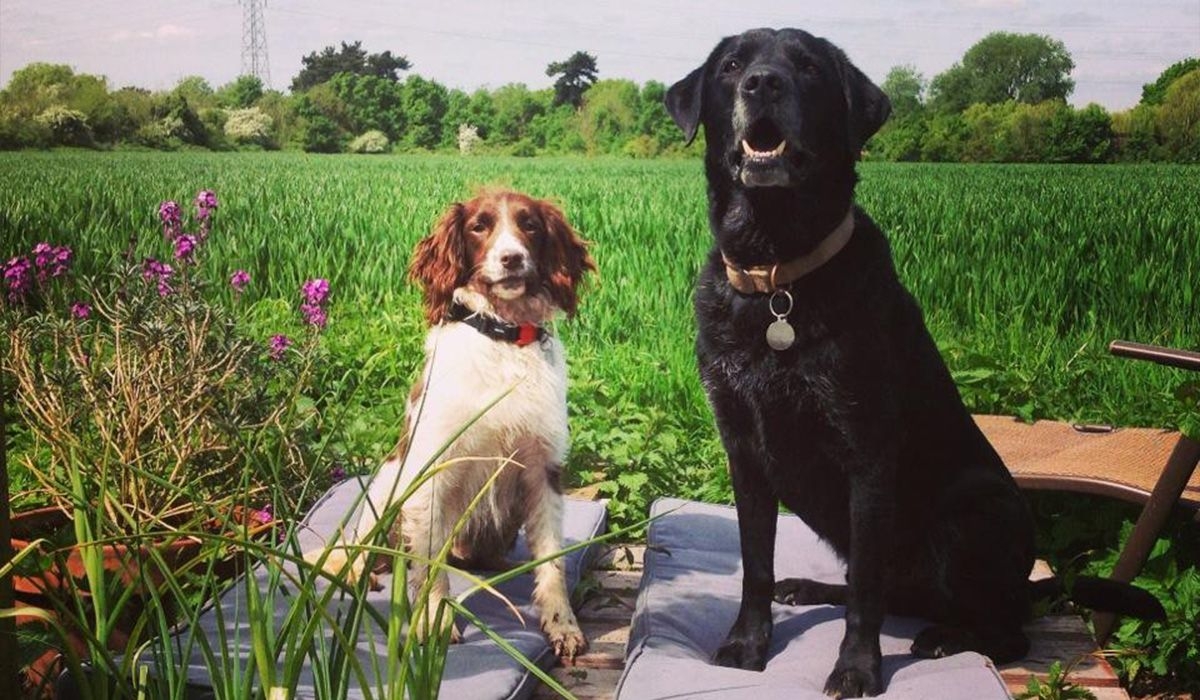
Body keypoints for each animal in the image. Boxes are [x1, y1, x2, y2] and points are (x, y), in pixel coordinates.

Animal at [314, 188, 595, 657]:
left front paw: (562, 624)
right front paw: (433, 623)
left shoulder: (544, 469)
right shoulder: (432, 471)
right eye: (479, 227)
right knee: (361, 552)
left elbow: (551, 562)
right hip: (386, 486)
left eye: (530, 225)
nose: (512, 258)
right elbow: (428, 566)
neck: (504, 338)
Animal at [667, 25, 1161, 696]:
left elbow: (865, 597)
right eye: (732, 65)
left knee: (1002, 629)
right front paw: (747, 643)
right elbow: (756, 565)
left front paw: (856, 668)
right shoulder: (743, 449)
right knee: (885, 587)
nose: (762, 83)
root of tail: (1026, 586)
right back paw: (812, 587)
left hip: (972, 516)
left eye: (807, 67)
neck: (778, 275)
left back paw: (948, 638)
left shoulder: (867, 452)